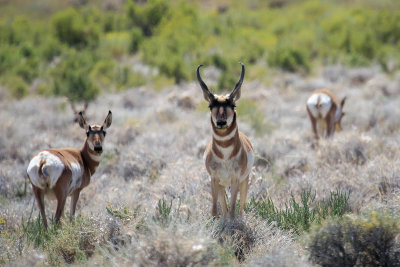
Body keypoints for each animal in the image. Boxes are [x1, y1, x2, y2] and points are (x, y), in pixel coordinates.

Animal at [198, 62, 255, 220]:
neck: (225, 156)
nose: (221, 122)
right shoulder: (214, 179)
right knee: (224, 207)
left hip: (244, 182)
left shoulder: (235, 180)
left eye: (233, 105)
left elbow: (233, 209)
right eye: (211, 106)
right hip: (223, 185)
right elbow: (216, 210)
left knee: (241, 207)